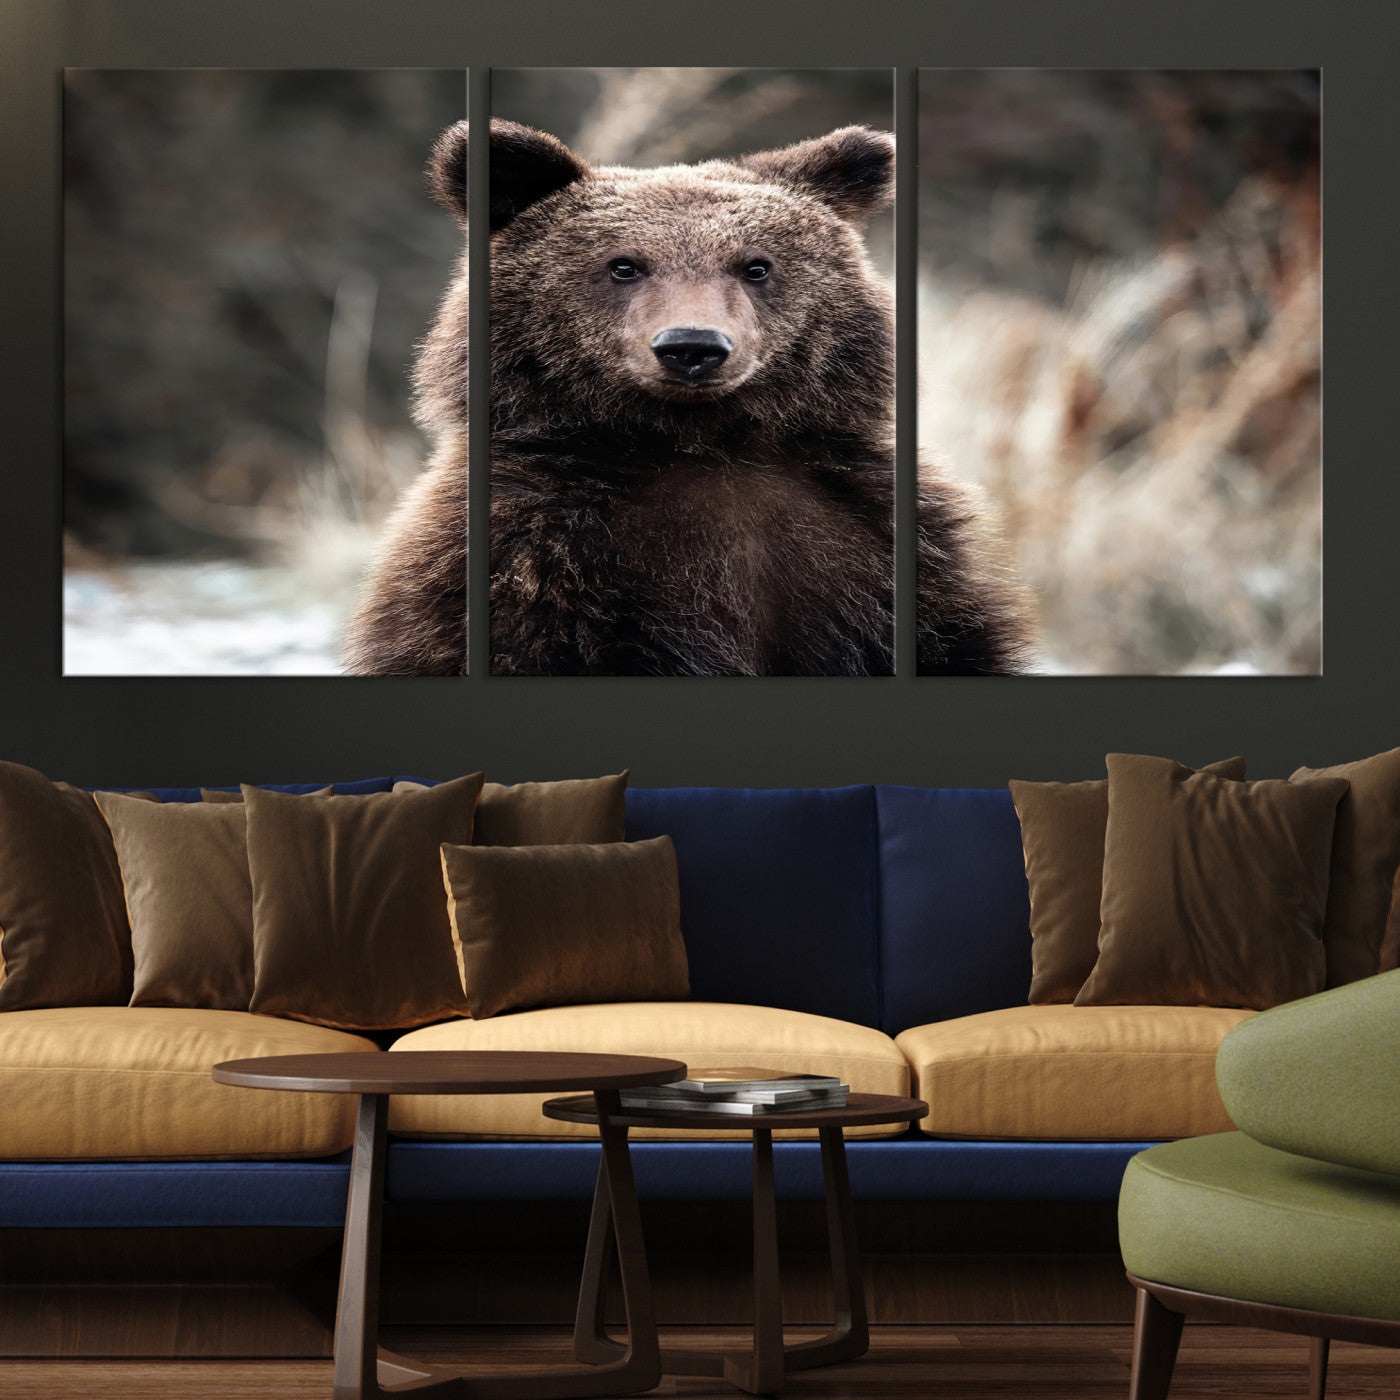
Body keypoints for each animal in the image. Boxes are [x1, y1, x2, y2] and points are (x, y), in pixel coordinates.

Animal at [343, 118, 1033, 676]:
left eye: (756, 265)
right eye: (623, 264)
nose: (692, 345)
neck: (700, 444)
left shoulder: (879, 547)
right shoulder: (530, 561)